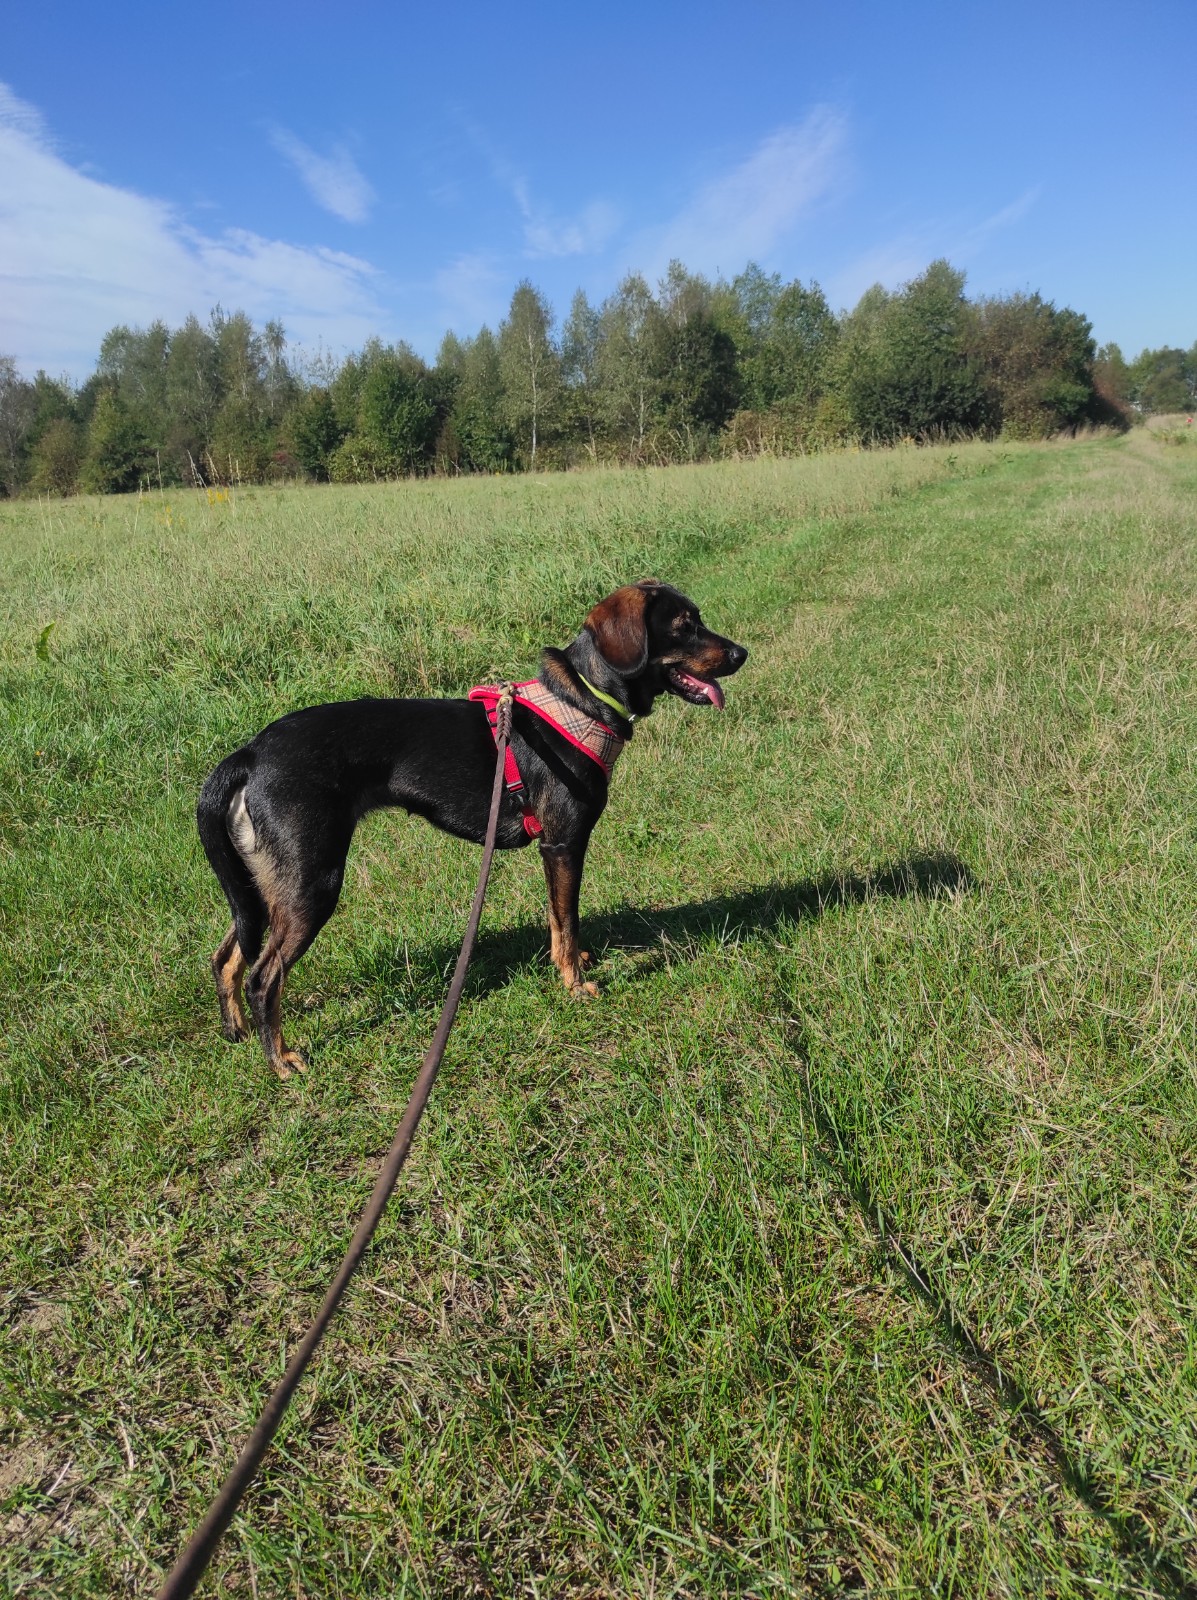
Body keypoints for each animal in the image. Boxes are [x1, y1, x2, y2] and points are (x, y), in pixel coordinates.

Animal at [197, 580, 747, 1077]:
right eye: (684, 626)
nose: (742, 654)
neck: (583, 700)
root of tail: (248, 755)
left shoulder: (554, 851)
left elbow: (557, 921)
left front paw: (568, 964)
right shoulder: (564, 843)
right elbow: (567, 920)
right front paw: (574, 985)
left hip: (268, 883)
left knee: (227, 956)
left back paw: (237, 1031)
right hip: (312, 881)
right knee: (264, 976)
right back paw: (281, 1060)